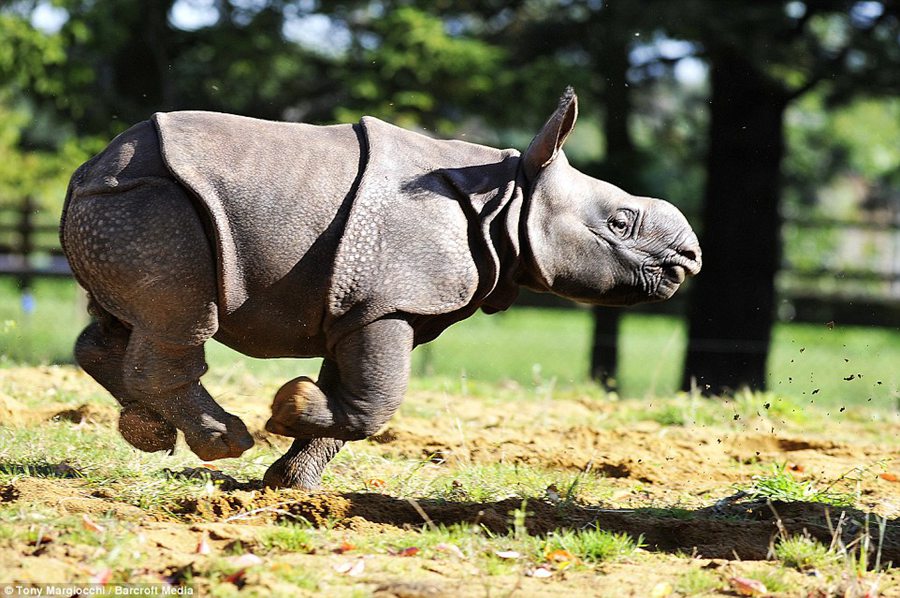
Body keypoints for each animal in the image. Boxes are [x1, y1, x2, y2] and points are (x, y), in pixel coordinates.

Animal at [61, 90, 704, 492]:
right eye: (620, 223)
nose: (691, 257)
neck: (508, 199)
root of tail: (85, 170)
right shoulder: (390, 298)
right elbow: (378, 399)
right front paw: (288, 408)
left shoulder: (365, 301)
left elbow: (355, 392)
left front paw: (289, 479)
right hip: (152, 201)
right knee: (183, 316)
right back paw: (224, 439)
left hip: (127, 205)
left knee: (127, 318)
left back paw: (147, 432)